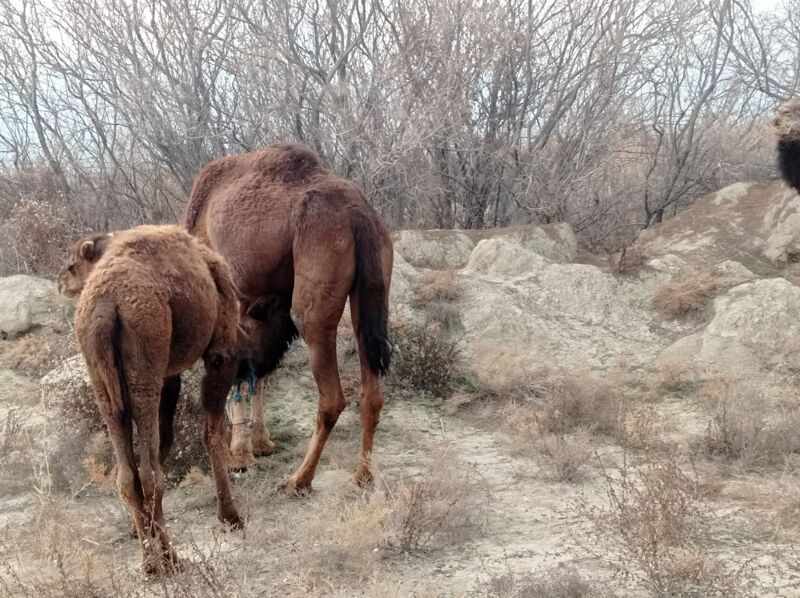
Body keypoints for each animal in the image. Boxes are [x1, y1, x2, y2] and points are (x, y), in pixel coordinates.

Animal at [57, 225, 244, 576]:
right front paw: (231, 517)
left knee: (128, 473)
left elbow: (165, 440)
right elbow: (211, 433)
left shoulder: (168, 371)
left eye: (73, 264)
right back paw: (170, 560)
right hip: (147, 357)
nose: (61, 281)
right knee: (149, 472)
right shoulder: (220, 352)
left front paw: (137, 528)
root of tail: (107, 306)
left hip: (104, 376)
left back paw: (149, 561)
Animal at [184, 143, 390, 494]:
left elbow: (238, 369)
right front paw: (260, 444)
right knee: (371, 392)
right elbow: (255, 374)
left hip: (314, 291)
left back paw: (299, 479)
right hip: (373, 292)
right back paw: (362, 476)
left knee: (331, 398)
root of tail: (359, 214)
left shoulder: (231, 292)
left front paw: (239, 456)